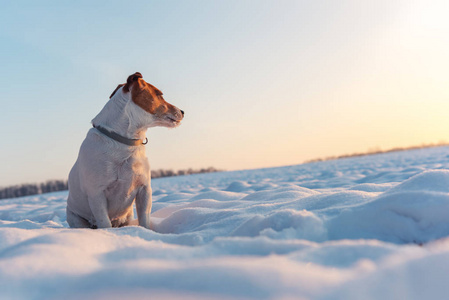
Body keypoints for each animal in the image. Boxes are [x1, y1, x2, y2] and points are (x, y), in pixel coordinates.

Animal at [65, 73, 184, 230]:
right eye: (159, 94)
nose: (183, 111)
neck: (126, 143)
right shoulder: (97, 194)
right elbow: (105, 223)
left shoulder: (144, 189)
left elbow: (144, 220)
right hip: (76, 219)